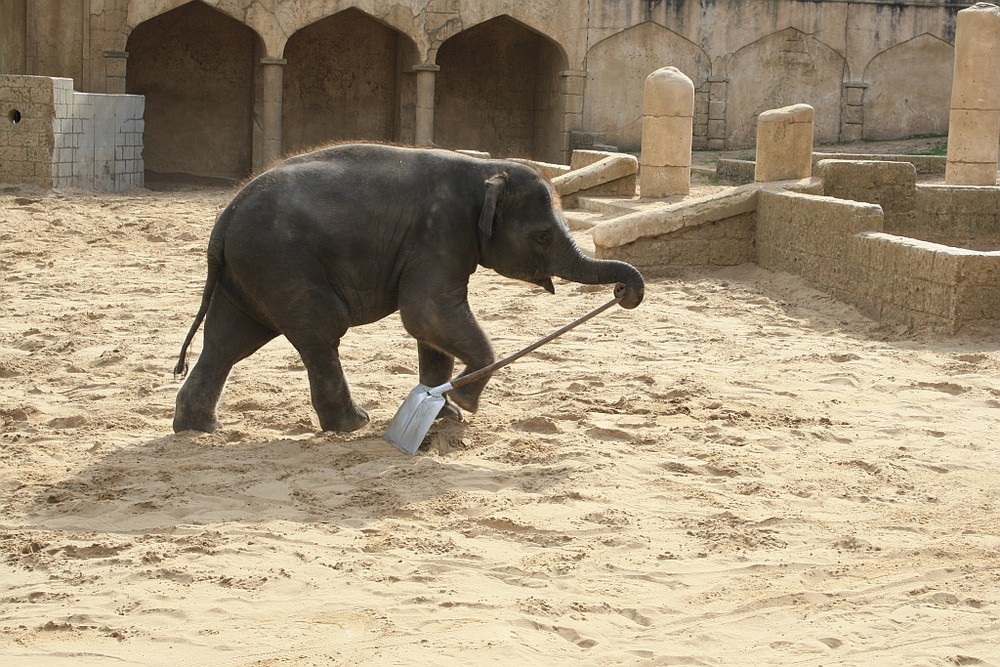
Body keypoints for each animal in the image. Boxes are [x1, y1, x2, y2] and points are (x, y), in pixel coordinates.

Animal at [173, 144, 644, 436]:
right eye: (544, 235)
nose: (626, 291)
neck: (484, 171)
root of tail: (226, 214)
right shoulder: (438, 234)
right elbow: (426, 312)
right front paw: (465, 402)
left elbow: (430, 329)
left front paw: (445, 411)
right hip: (281, 262)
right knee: (319, 331)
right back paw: (353, 424)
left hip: (248, 272)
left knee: (229, 341)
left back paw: (198, 428)